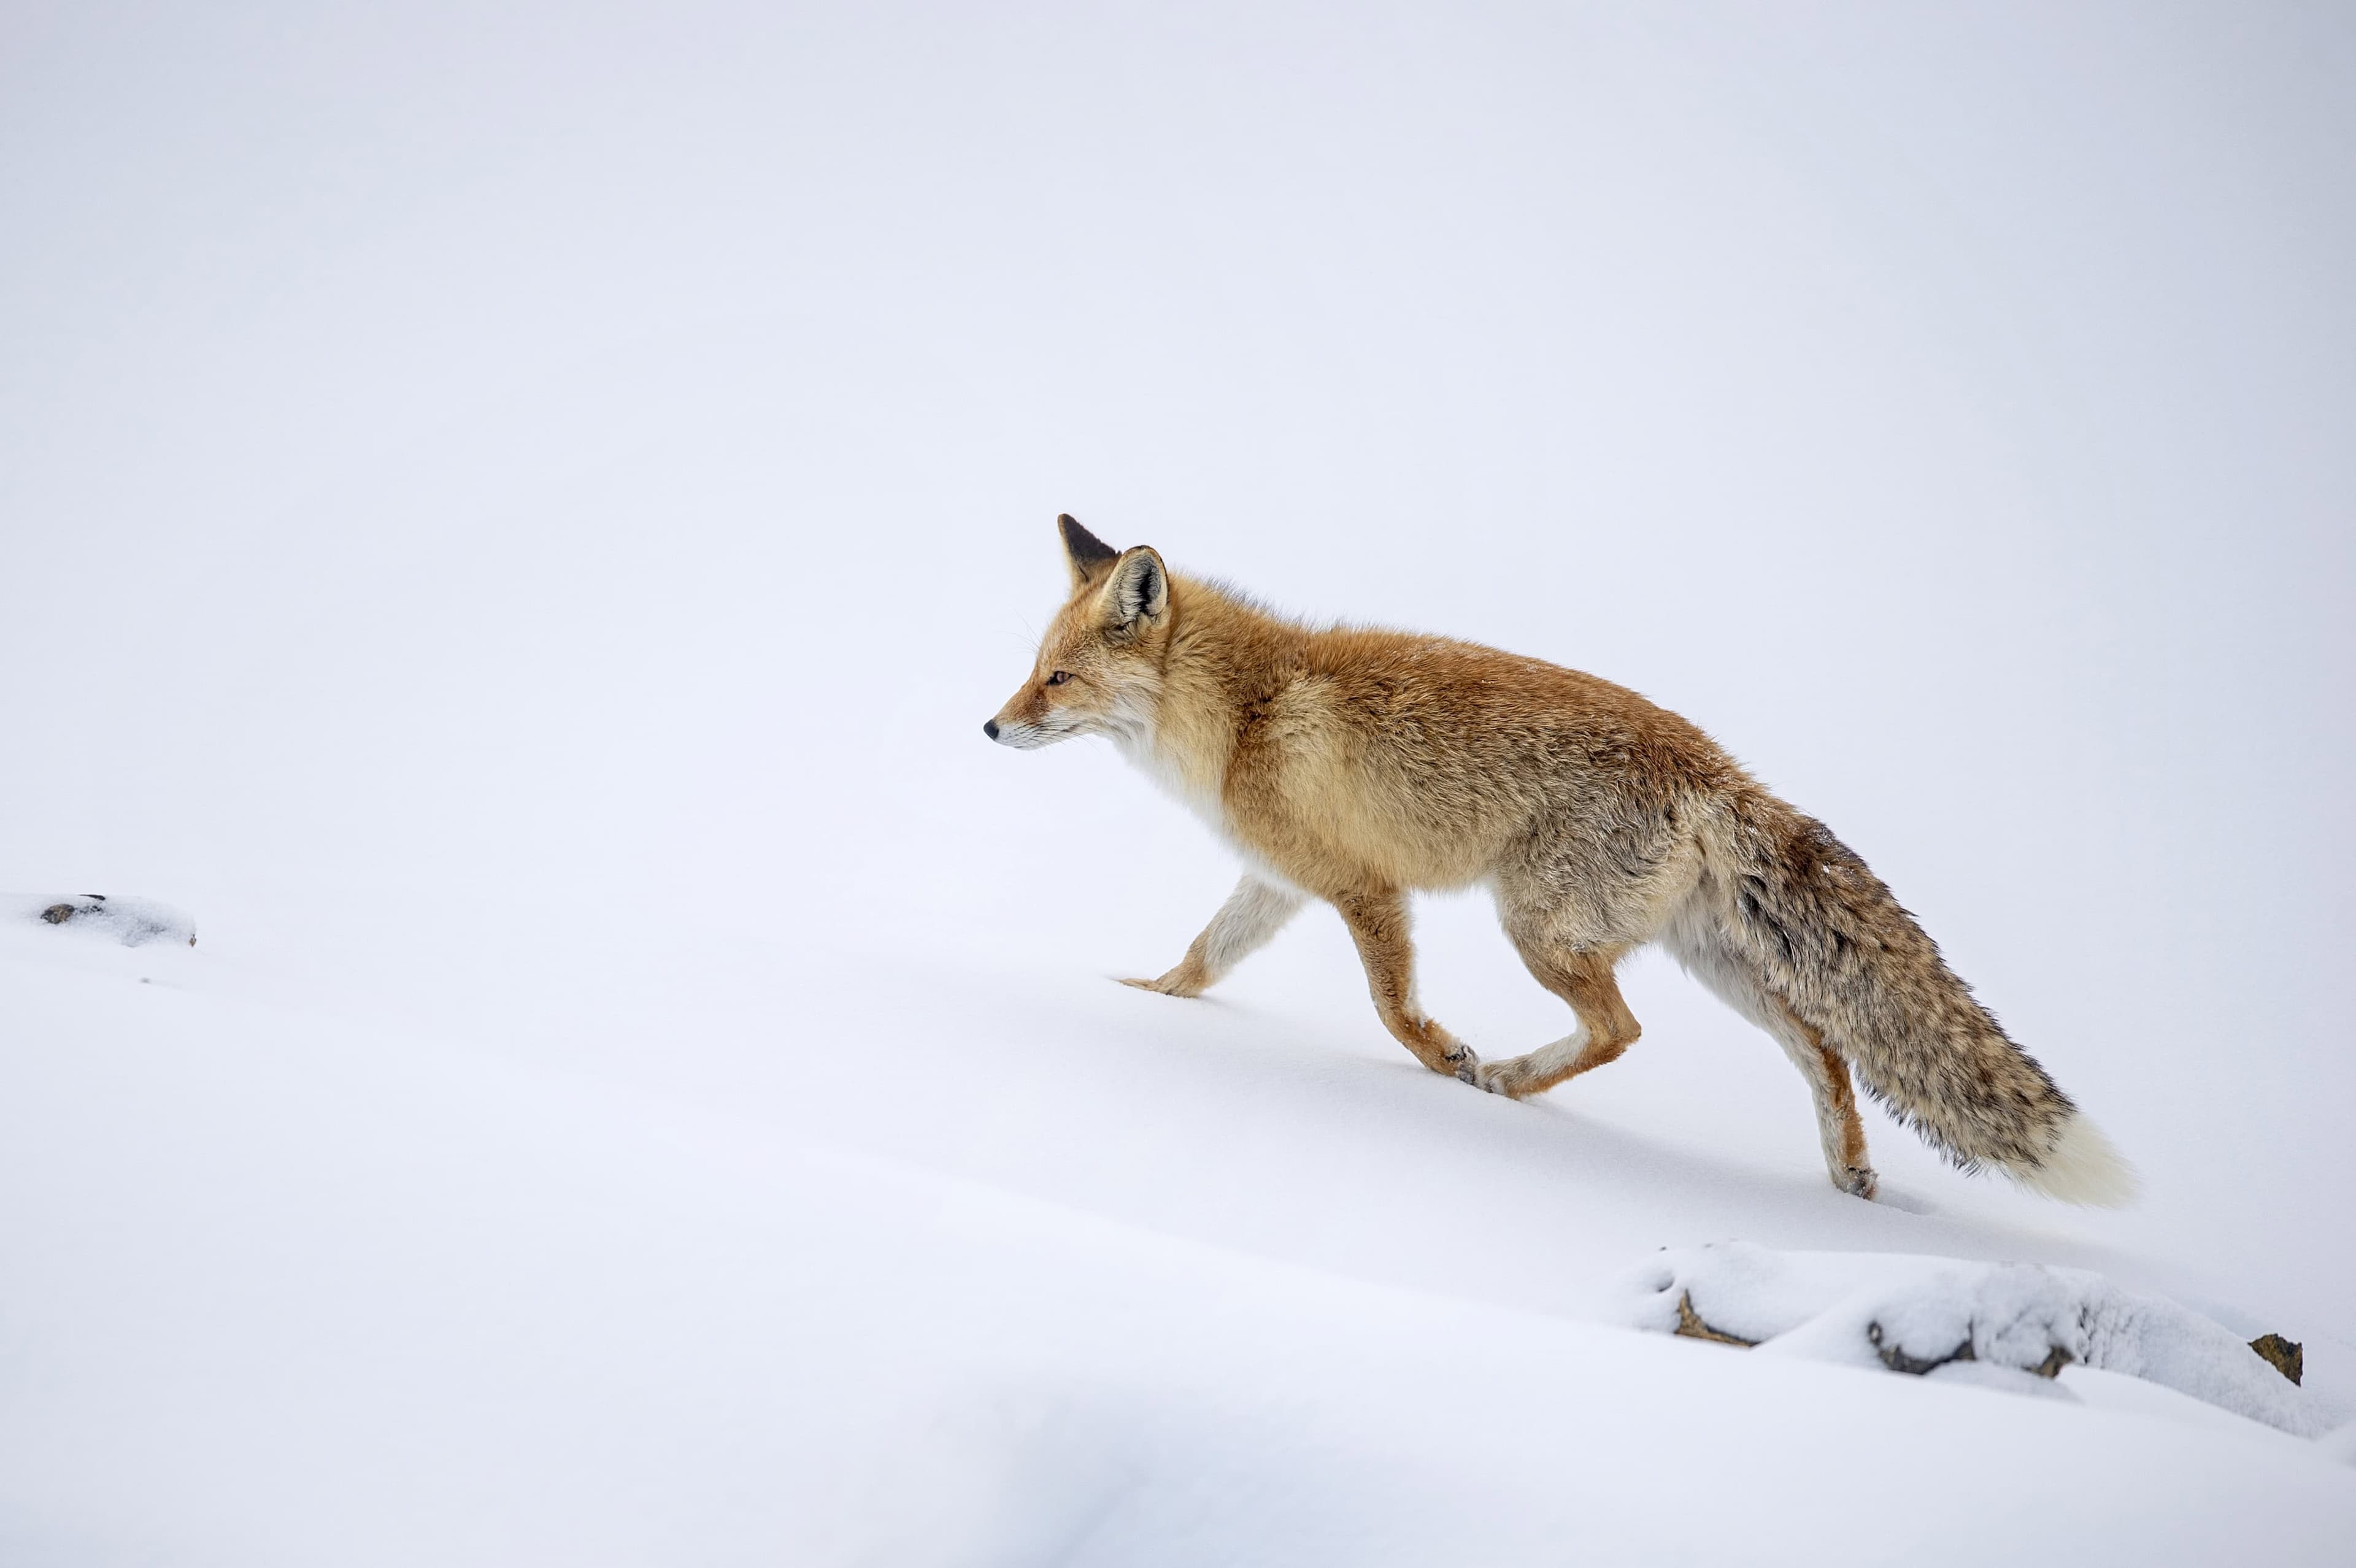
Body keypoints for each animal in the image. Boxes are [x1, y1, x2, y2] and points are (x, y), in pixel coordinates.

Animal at [985, 514, 2137, 1206]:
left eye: (1056, 680)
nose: (990, 728)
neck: (1245, 716)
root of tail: (1716, 766)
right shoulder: (1276, 883)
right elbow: (1201, 958)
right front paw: (1141, 997)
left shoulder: (1365, 889)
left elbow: (1392, 1008)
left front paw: (1443, 1058)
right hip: (1711, 960)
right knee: (1821, 1047)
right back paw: (1847, 1168)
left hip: (1537, 927)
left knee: (1624, 1029)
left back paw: (1506, 1079)